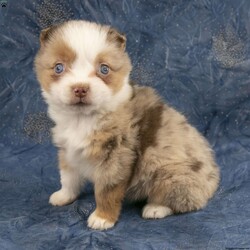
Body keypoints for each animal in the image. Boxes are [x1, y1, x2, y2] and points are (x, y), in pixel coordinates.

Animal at [34, 20, 219, 230]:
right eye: (59, 68)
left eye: (104, 69)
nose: (80, 89)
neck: (83, 118)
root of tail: (213, 176)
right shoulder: (68, 150)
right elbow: (68, 176)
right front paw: (64, 196)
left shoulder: (116, 156)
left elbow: (106, 190)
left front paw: (103, 218)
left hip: (171, 171)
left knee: (186, 199)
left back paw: (155, 208)